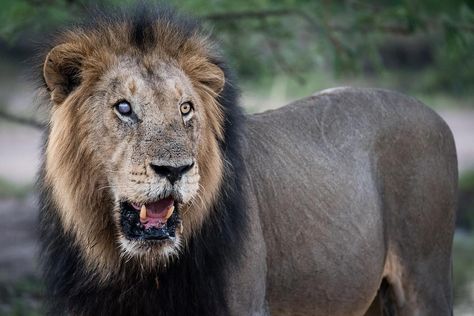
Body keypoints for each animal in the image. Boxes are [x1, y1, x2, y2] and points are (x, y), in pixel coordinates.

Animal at [39, 5, 458, 316]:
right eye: (124, 108)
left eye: (185, 108)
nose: (175, 170)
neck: (136, 270)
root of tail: (436, 116)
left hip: (425, 278)